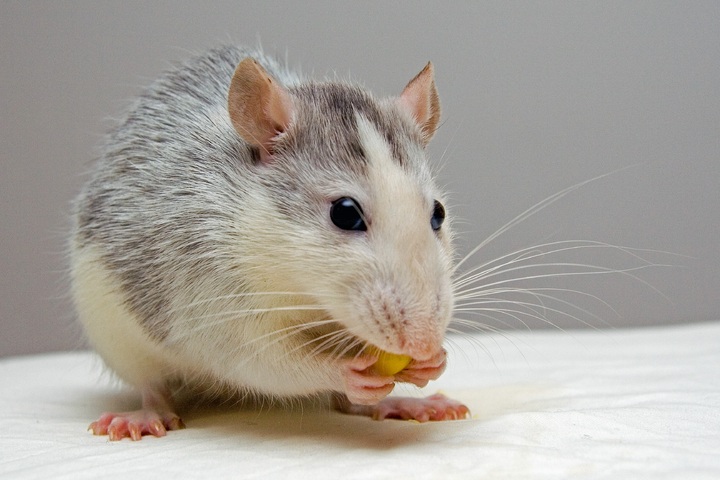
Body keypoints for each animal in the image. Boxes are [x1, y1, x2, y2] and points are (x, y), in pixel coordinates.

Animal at [70, 45, 469, 441]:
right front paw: (342, 372)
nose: (424, 342)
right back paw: (144, 413)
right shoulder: (210, 288)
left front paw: (434, 362)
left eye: (438, 213)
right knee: (151, 384)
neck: (306, 295)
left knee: (347, 405)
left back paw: (401, 403)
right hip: (119, 340)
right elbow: (261, 361)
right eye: (345, 213)